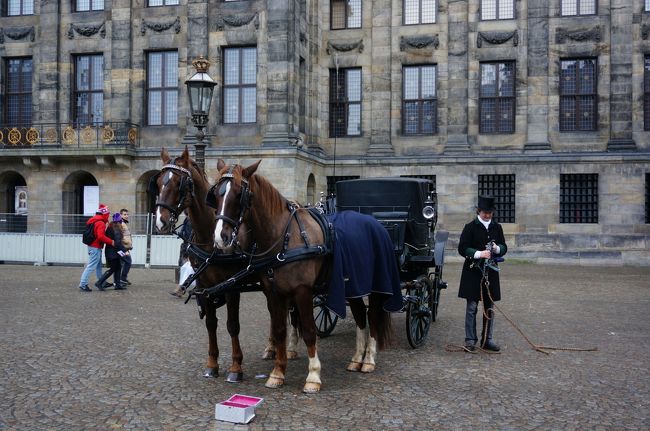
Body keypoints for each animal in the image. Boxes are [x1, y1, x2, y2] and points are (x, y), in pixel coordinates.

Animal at [152, 147, 300, 382]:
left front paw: (236, 368)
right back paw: (272, 348)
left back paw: (289, 348)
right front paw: (212, 364)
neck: (209, 239)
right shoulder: (204, 286)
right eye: (158, 183)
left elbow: (232, 326)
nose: (160, 221)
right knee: (273, 312)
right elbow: (211, 324)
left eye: (179, 183)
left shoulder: (231, 286)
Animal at [209, 159, 396, 393]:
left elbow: (308, 330)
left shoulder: (302, 292)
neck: (285, 238)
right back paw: (356, 359)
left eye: (238, 194)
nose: (220, 238)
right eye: (215, 194)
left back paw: (369, 360)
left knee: (373, 316)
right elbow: (280, 329)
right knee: (361, 316)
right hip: (353, 287)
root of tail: (376, 224)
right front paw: (278, 372)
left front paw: (313, 376)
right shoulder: (274, 292)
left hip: (376, 286)